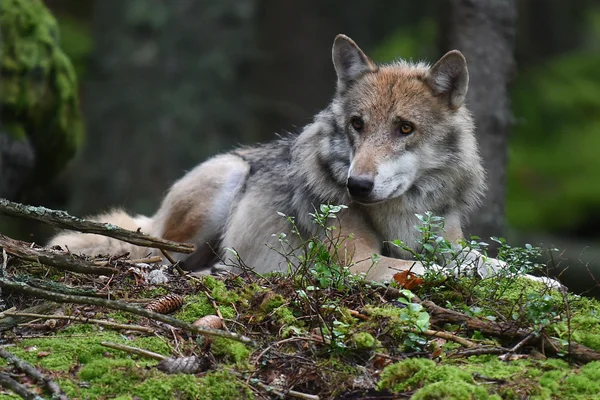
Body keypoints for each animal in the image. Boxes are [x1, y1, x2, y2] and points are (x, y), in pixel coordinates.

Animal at [50, 35, 488, 282]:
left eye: (405, 129)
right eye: (357, 124)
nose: (356, 185)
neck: (405, 211)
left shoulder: (448, 243)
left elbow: (478, 261)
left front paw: (504, 274)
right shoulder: (359, 263)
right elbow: (431, 270)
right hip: (222, 185)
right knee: (155, 257)